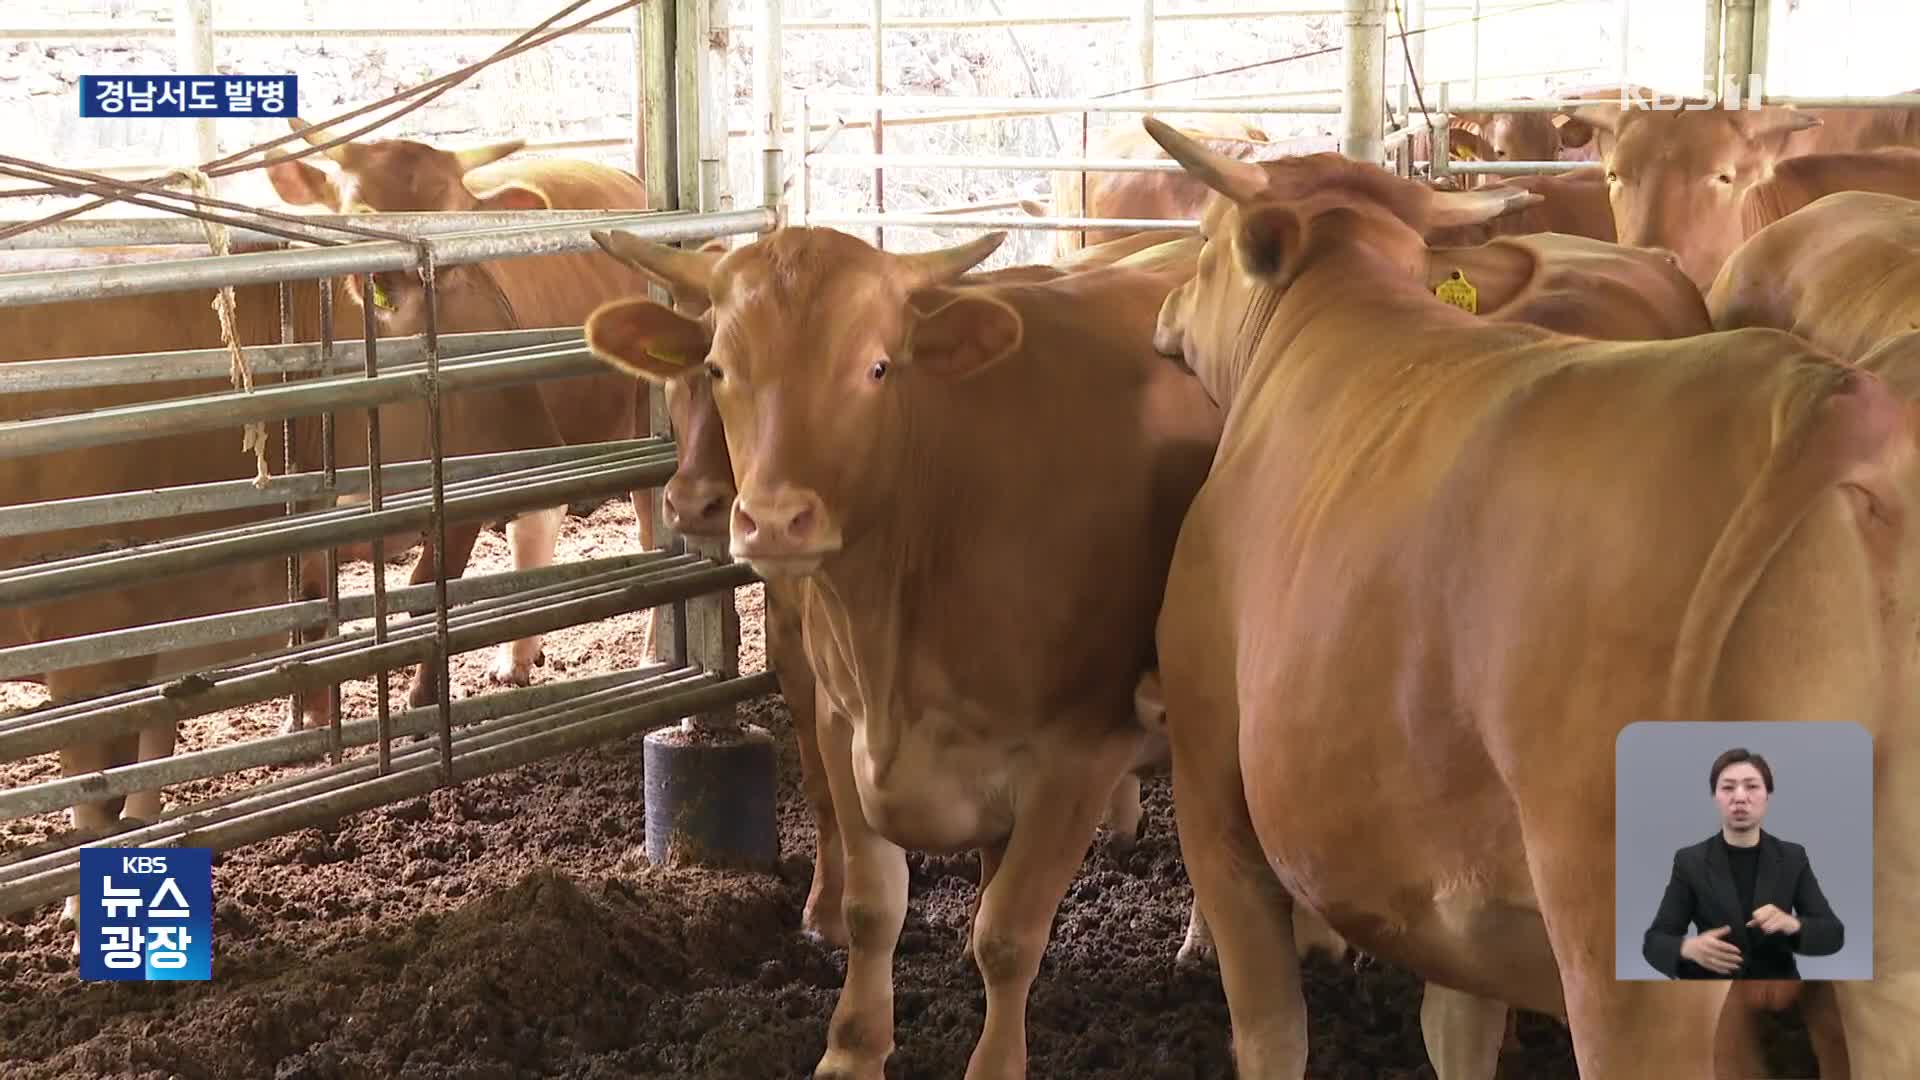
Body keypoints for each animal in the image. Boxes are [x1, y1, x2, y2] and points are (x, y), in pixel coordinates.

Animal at [579, 224, 1228, 1068]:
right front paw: (850, 1051)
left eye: (878, 367)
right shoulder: (839, 719)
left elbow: (1008, 935)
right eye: (717, 367)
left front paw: (993, 1063)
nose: (772, 520)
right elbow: (873, 907)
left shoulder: (1080, 757)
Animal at [1136, 119, 1920, 1076]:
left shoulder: (1214, 791)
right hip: (1893, 956)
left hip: (1626, 956)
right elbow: (1459, 1030)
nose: (1166, 314)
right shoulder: (1453, 890)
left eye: (1205, 241)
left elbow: (1270, 1030)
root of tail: (1837, 398)